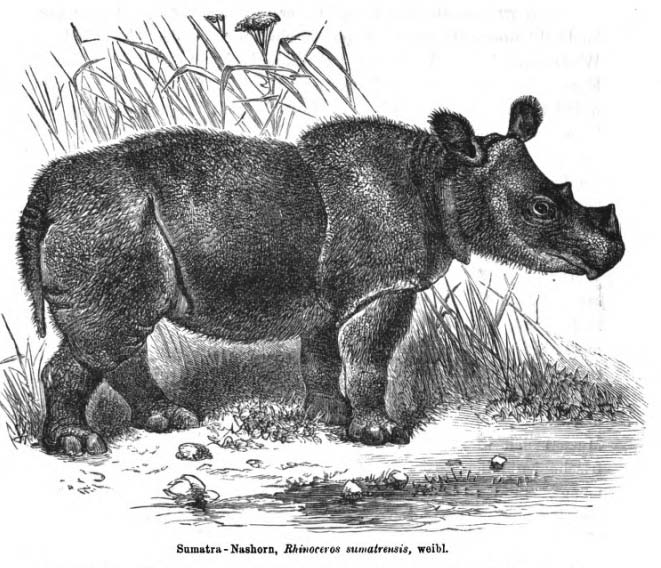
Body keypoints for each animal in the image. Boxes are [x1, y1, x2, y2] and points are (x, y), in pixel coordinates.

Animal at [18, 96, 624, 455]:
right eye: (541, 209)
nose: (614, 254)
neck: (443, 175)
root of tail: (46, 194)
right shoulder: (384, 285)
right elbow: (371, 357)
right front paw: (379, 435)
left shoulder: (332, 293)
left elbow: (324, 355)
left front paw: (328, 419)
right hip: (109, 222)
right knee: (113, 329)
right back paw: (78, 445)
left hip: (106, 223)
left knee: (119, 333)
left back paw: (171, 420)